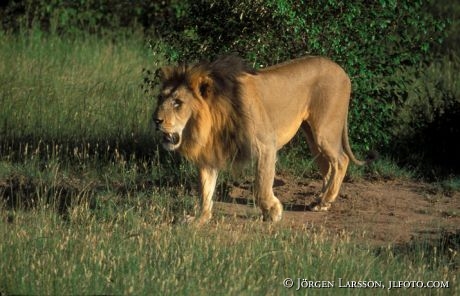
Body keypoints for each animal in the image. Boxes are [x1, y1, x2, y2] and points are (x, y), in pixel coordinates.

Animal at [153, 55, 364, 224]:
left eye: (178, 103)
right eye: (160, 98)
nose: (156, 120)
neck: (212, 122)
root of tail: (341, 70)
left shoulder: (265, 145)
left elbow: (260, 185)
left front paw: (273, 212)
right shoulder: (210, 153)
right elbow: (205, 190)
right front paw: (200, 218)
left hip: (324, 131)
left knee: (341, 160)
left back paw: (325, 200)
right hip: (312, 137)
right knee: (327, 168)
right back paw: (321, 201)